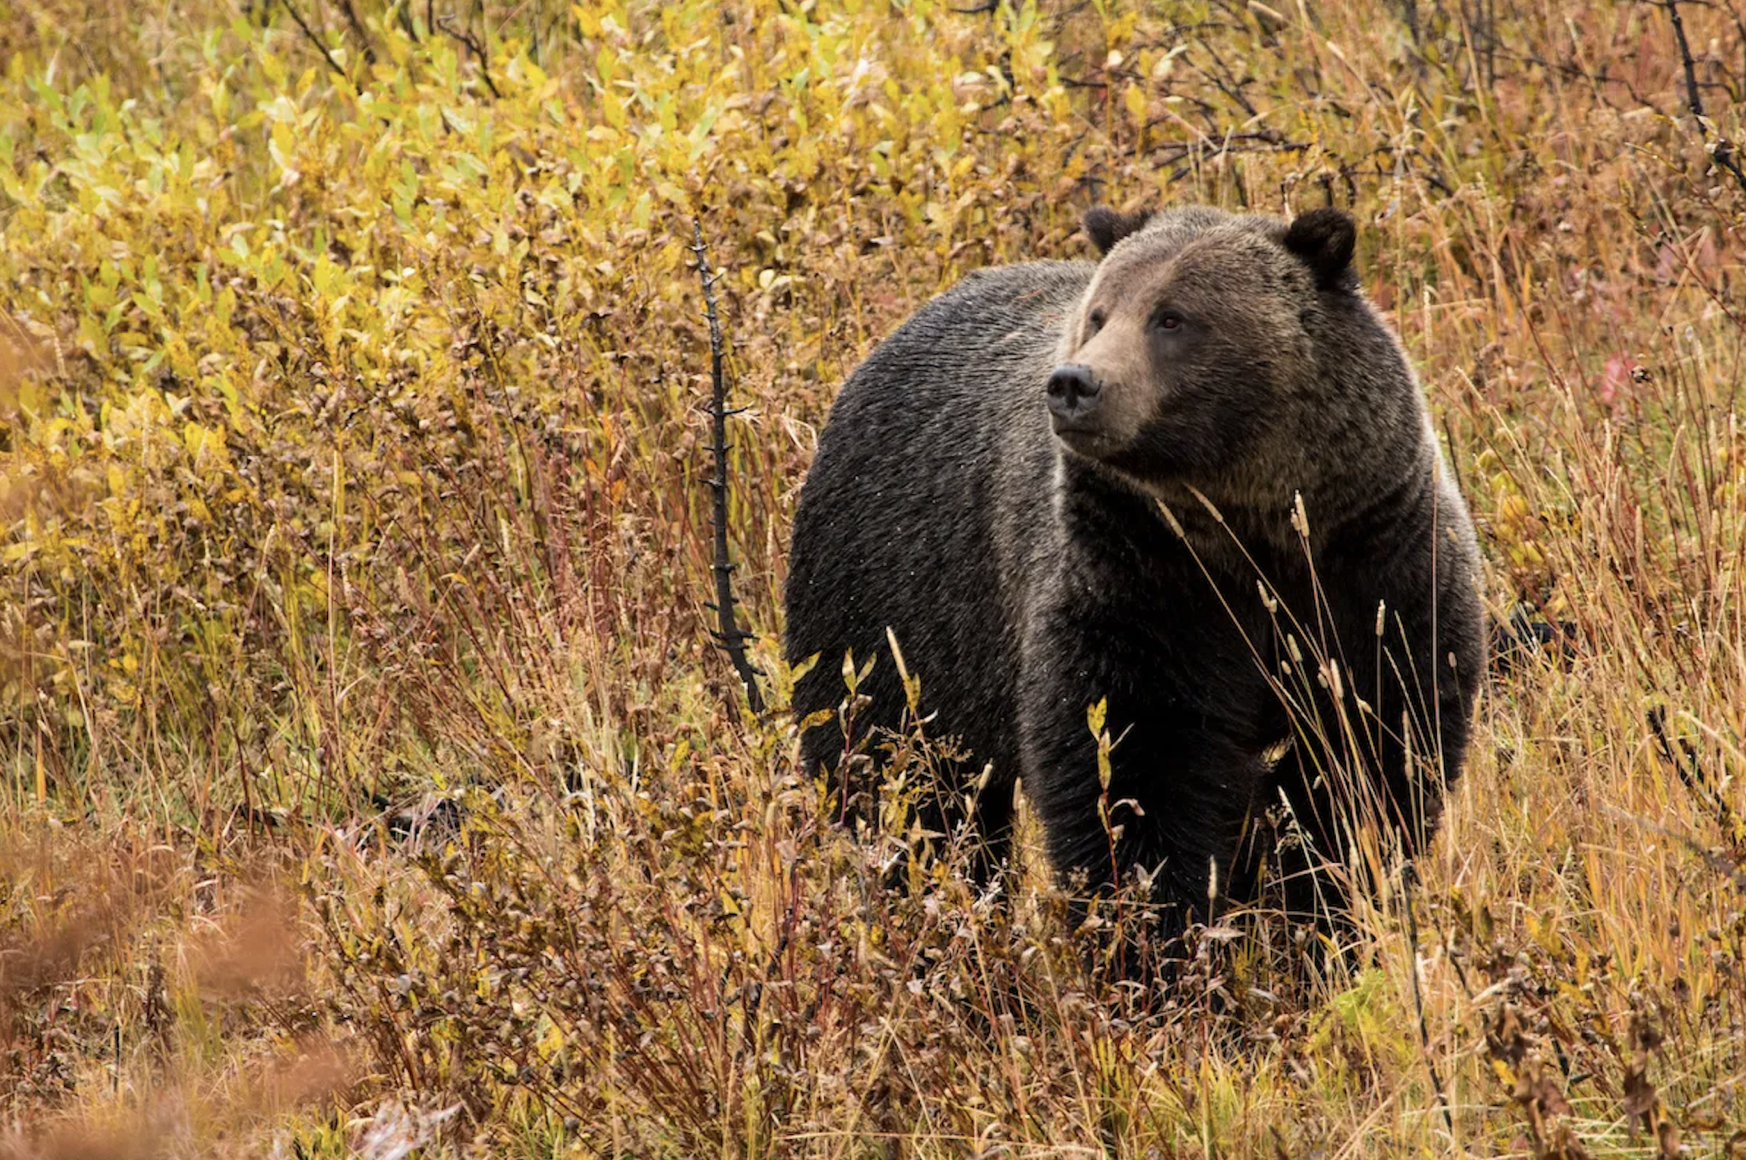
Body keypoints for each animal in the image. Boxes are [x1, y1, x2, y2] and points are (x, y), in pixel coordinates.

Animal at [785, 206, 1480, 950]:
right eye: (1099, 314)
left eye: (1172, 317)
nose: (1073, 384)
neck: (1252, 535)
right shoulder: (1138, 581)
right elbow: (1134, 765)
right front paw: (1157, 931)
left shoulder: (1375, 569)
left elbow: (1370, 756)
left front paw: (1315, 913)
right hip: (893, 603)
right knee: (907, 783)